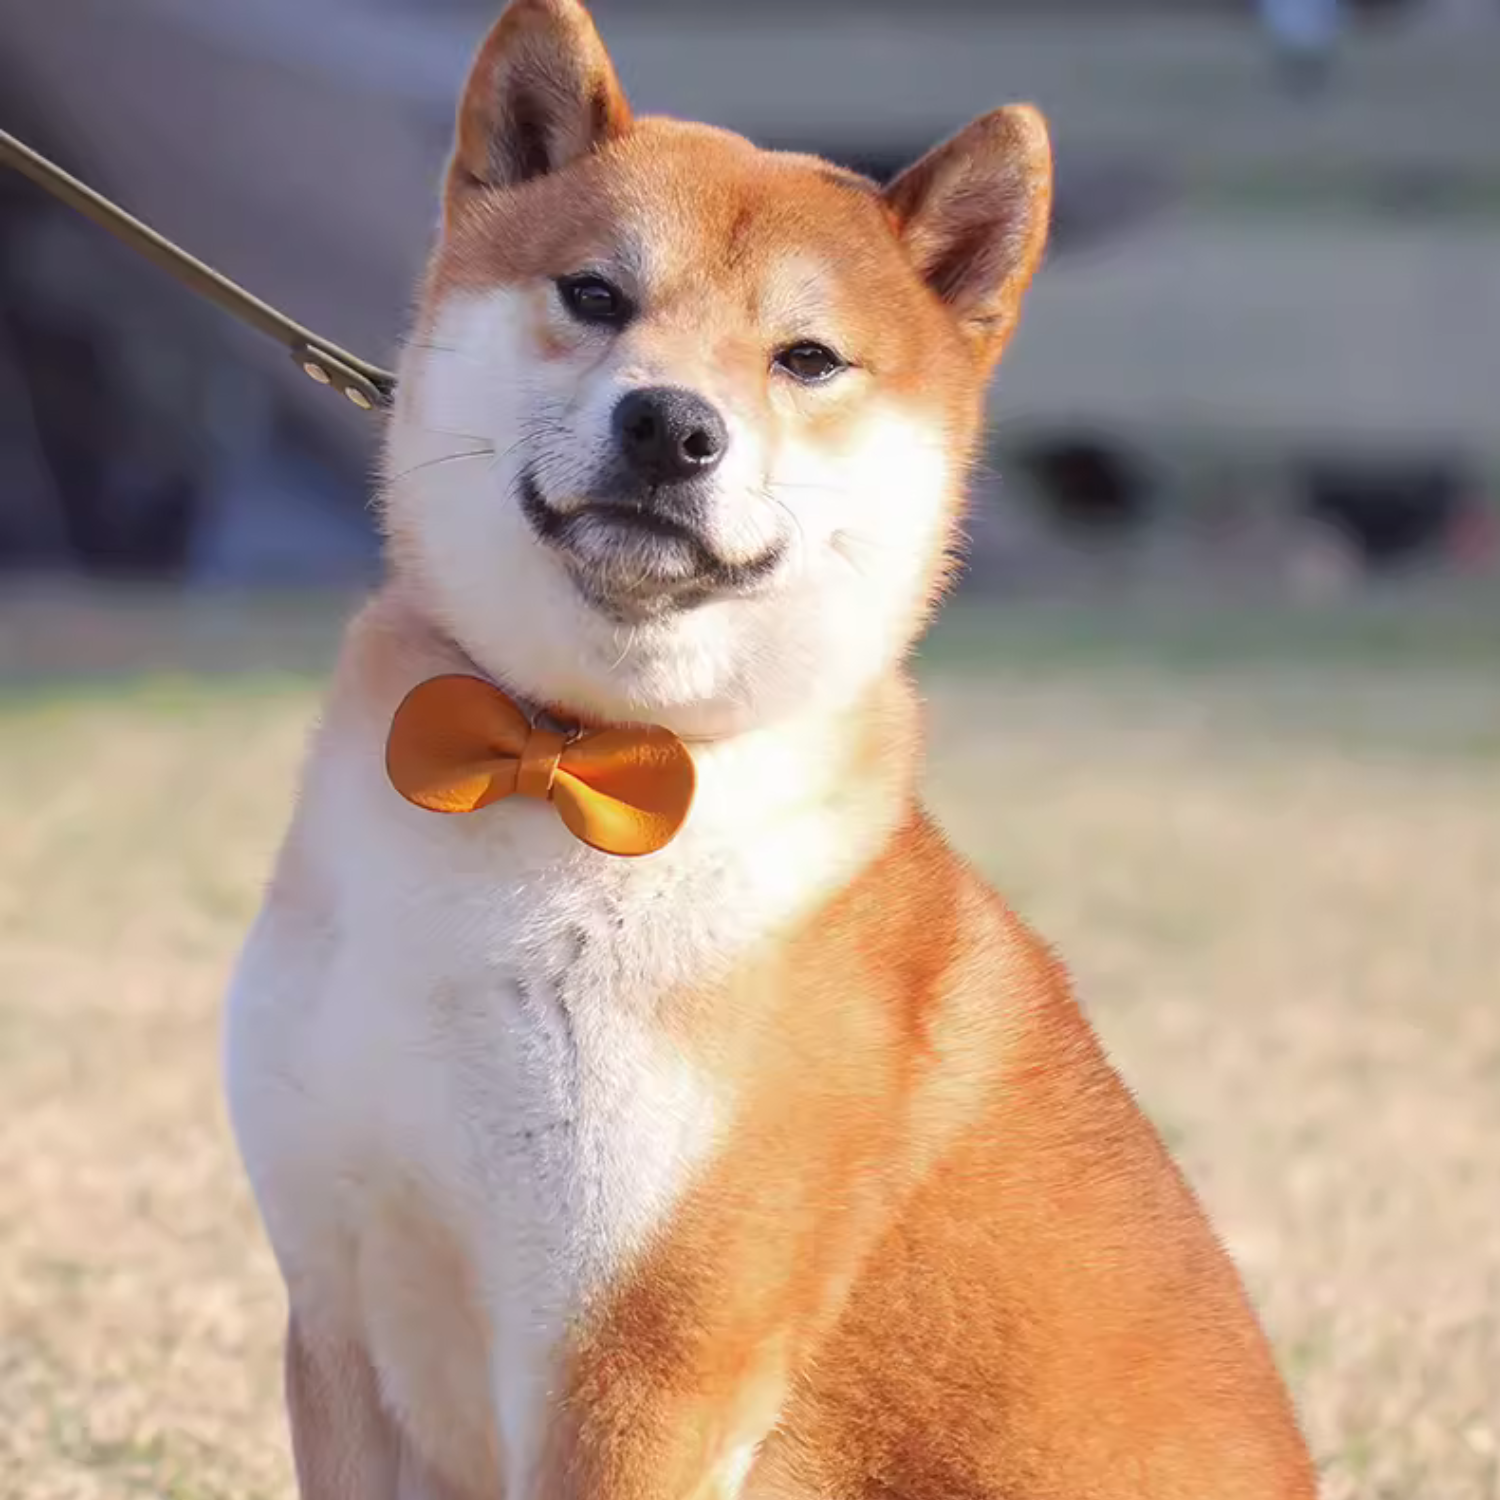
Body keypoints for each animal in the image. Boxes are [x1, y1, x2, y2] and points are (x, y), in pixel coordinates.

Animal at [222, 5, 1314, 1494]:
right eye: (594, 294)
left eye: (807, 358)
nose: (670, 424)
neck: (571, 761)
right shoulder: (340, 1316)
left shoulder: (639, 1364)